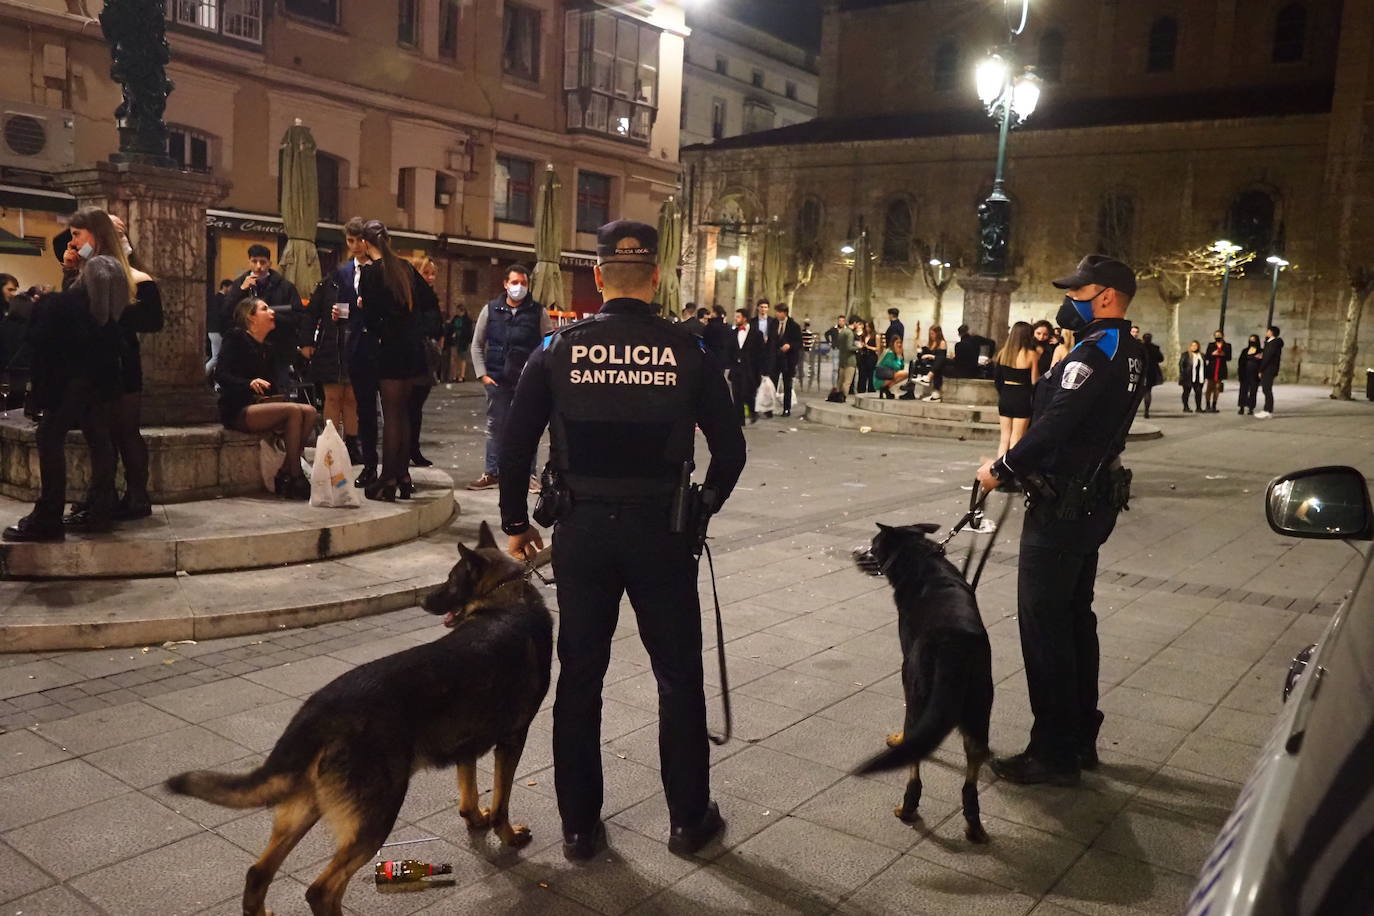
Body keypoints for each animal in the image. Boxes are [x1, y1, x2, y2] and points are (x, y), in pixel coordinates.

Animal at [169, 521, 555, 916]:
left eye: (449, 580)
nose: (424, 601)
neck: (505, 598)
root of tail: (319, 708)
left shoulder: (469, 744)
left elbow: (469, 788)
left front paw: (475, 819)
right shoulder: (512, 740)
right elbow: (502, 803)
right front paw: (507, 836)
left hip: (305, 807)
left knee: (258, 874)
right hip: (377, 813)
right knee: (321, 890)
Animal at [851, 521, 994, 845]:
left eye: (873, 543)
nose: (855, 552)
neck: (919, 557)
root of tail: (956, 644)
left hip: (915, 690)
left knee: (915, 756)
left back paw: (908, 808)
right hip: (980, 705)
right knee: (972, 770)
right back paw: (974, 824)